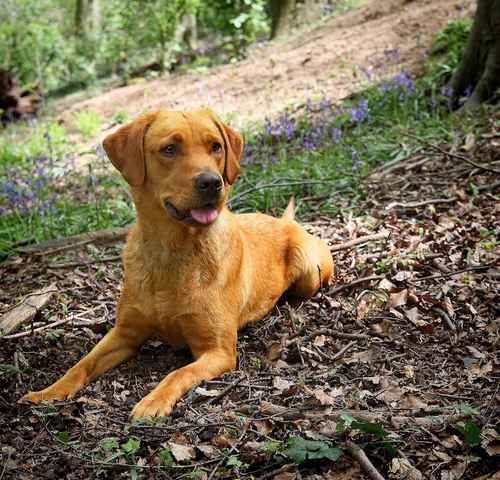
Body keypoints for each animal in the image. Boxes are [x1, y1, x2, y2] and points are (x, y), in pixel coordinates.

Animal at [23, 109, 336, 416]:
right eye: (169, 149)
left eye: (215, 147)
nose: (212, 182)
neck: (171, 251)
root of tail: (284, 221)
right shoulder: (124, 332)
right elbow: (81, 364)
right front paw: (48, 392)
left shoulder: (218, 351)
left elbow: (178, 373)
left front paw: (153, 401)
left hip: (309, 270)